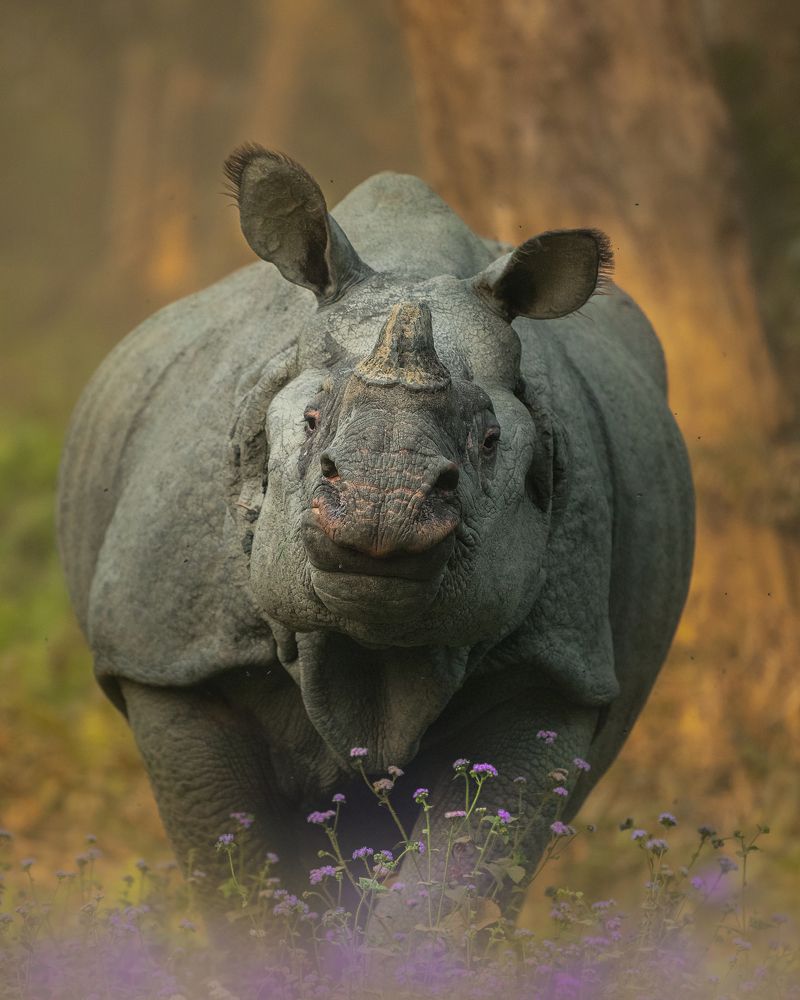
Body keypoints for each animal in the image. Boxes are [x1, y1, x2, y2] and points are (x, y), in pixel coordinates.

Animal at [57, 145, 693, 930]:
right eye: (308, 424)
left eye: (491, 441)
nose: (382, 511)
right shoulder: (170, 660)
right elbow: (238, 879)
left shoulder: (555, 670)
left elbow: (457, 877)